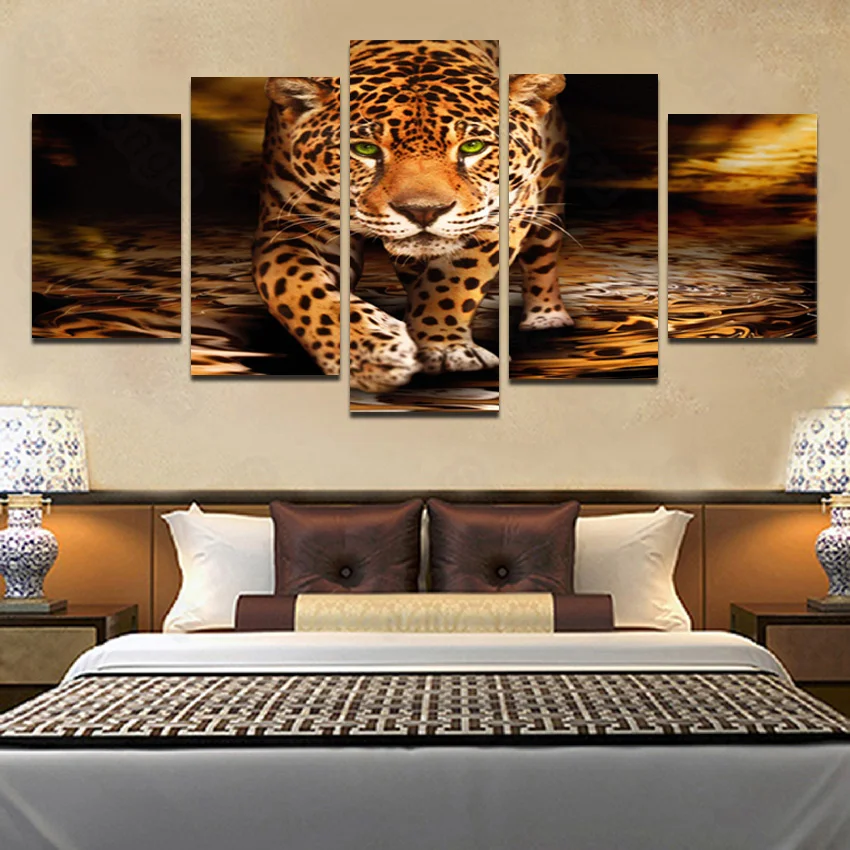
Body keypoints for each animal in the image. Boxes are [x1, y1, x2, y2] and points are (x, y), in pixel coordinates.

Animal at [252, 41, 571, 393]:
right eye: (364, 149)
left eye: (473, 146)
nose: (422, 210)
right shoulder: (295, 226)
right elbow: (301, 290)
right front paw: (372, 353)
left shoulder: (504, 211)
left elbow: (455, 279)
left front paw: (441, 347)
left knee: (543, 255)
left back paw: (546, 316)